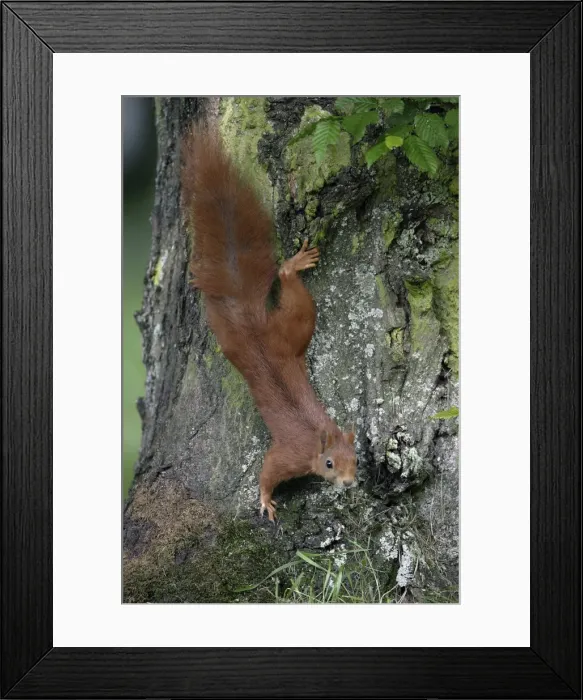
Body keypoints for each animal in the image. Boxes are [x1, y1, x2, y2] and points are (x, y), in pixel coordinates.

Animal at [181, 126, 357, 521]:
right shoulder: (290, 455)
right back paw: (292, 266)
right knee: (284, 283)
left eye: (356, 459)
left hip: (290, 330)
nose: (349, 483)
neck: (316, 438)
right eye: (328, 464)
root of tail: (252, 325)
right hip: (286, 328)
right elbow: (268, 470)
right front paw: (264, 500)